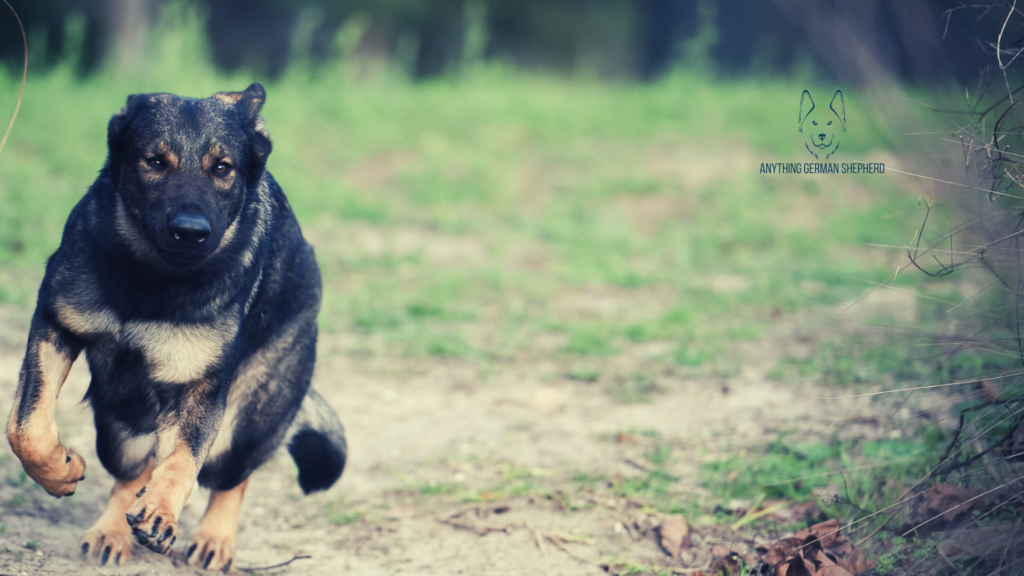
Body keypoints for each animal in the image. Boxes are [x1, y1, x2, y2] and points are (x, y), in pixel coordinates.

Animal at [3, 81, 348, 569]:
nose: (191, 231)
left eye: (222, 168)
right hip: (120, 426)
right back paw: (112, 530)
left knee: (229, 477)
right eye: (154, 162)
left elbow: (183, 460)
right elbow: (26, 427)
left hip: (241, 425)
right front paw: (58, 472)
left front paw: (162, 510)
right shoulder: (55, 326)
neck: (152, 279)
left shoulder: (199, 389)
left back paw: (214, 538)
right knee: (134, 469)